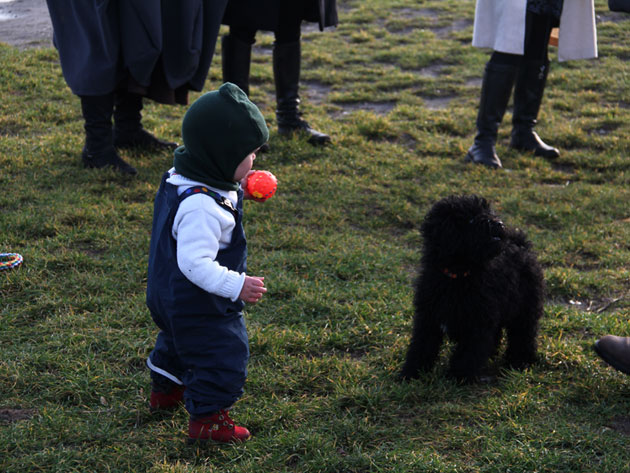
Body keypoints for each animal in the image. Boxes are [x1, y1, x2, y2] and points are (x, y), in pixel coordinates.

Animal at [402, 194, 544, 382]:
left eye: (488, 211)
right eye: (470, 219)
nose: (499, 224)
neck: (459, 276)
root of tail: (521, 245)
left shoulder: (477, 323)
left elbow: (467, 353)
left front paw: (457, 377)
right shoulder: (428, 317)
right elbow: (421, 346)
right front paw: (411, 373)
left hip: (525, 308)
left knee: (523, 335)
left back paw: (520, 362)